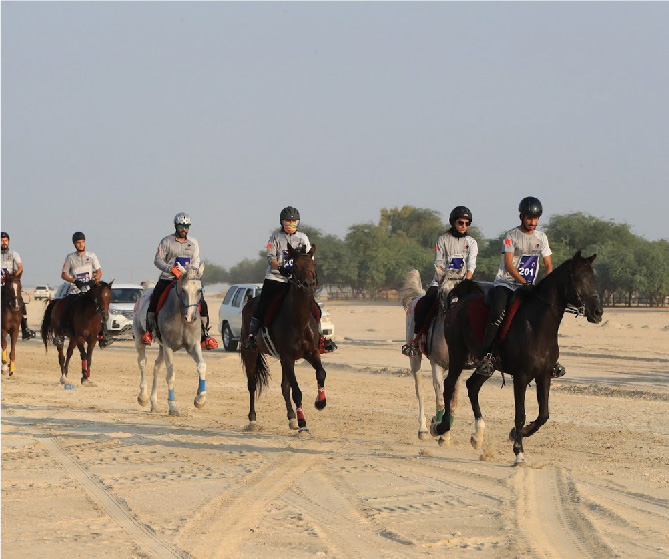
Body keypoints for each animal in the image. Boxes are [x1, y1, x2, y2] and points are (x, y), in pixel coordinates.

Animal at [134, 262, 207, 416]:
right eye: (183, 290)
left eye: (199, 290)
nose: (190, 317)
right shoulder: (168, 347)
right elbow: (171, 375)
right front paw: (173, 407)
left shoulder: (194, 345)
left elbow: (202, 366)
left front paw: (200, 399)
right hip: (139, 339)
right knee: (142, 363)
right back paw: (143, 397)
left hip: (161, 347)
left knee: (156, 367)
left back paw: (154, 403)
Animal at [240, 245, 326, 434]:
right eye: (296, 266)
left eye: (313, 264)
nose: (309, 285)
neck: (299, 321)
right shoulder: (287, 357)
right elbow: (297, 391)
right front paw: (303, 424)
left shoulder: (311, 353)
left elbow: (320, 373)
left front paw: (320, 402)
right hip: (251, 353)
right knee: (252, 384)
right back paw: (252, 420)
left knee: (284, 387)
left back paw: (292, 418)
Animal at [430, 252, 604, 466]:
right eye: (578, 278)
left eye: (593, 278)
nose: (597, 312)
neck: (538, 327)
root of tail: (461, 301)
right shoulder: (521, 377)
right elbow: (520, 414)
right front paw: (519, 452)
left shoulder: (544, 375)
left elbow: (543, 414)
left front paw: (517, 434)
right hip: (457, 355)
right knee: (449, 386)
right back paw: (440, 427)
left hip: (487, 366)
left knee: (472, 386)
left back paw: (477, 435)